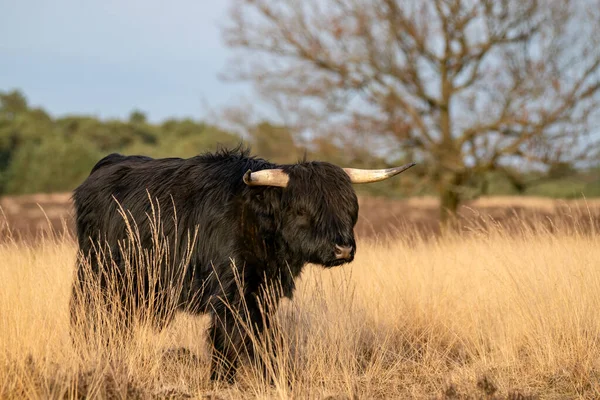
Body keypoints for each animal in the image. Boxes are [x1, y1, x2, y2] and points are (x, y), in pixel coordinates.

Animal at [70, 146, 414, 382]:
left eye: (350, 208)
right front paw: (222, 380)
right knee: (92, 318)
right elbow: (229, 338)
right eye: (302, 210)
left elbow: (262, 337)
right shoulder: (230, 292)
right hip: (97, 276)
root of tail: (108, 163)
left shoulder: (264, 292)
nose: (343, 248)